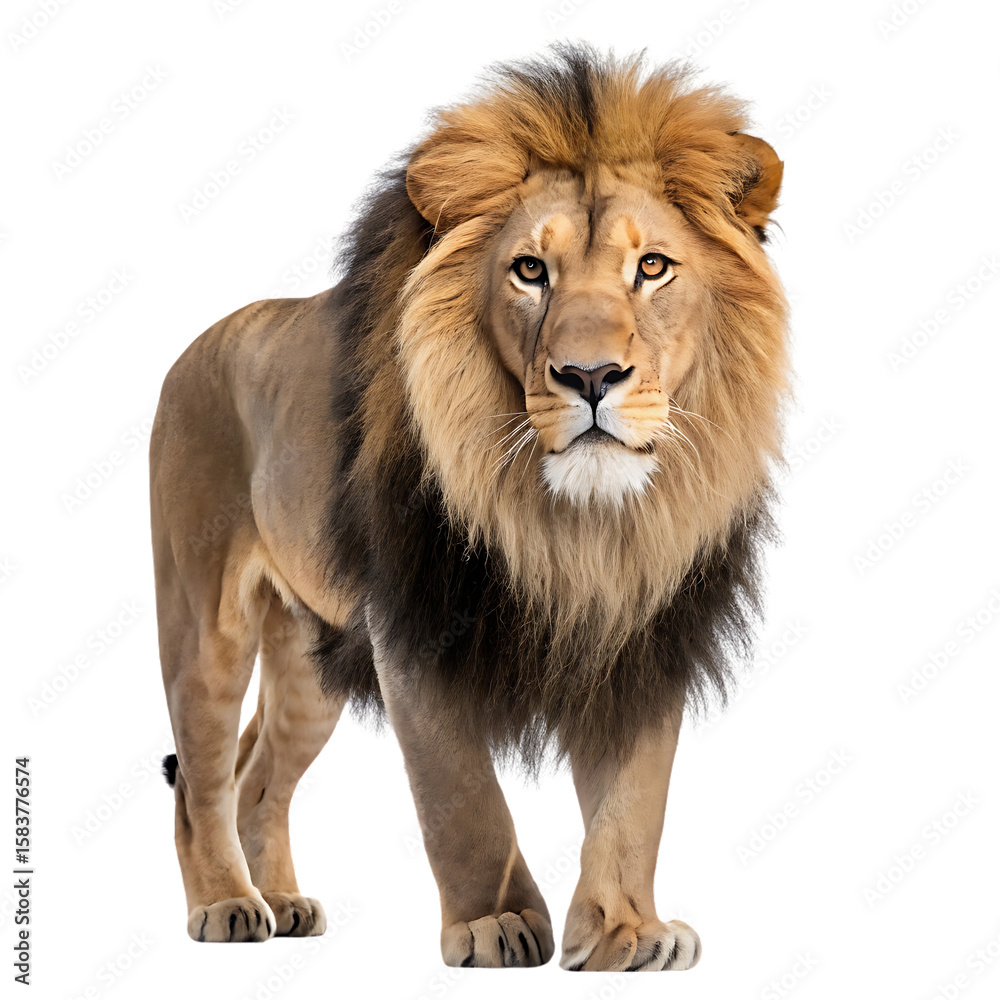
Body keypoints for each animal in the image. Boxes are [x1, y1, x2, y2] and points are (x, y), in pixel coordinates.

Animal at [150, 45, 788, 970]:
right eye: (530, 270)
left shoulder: (645, 629)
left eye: (652, 267)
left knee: (255, 776)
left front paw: (626, 931)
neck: (578, 524)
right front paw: (494, 923)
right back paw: (227, 905)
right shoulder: (414, 626)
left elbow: (635, 800)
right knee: (199, 779)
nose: (591, 377)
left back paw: (282, 902)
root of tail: (193, 347)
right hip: (205, 624)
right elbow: (460, 795)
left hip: (309, 658)